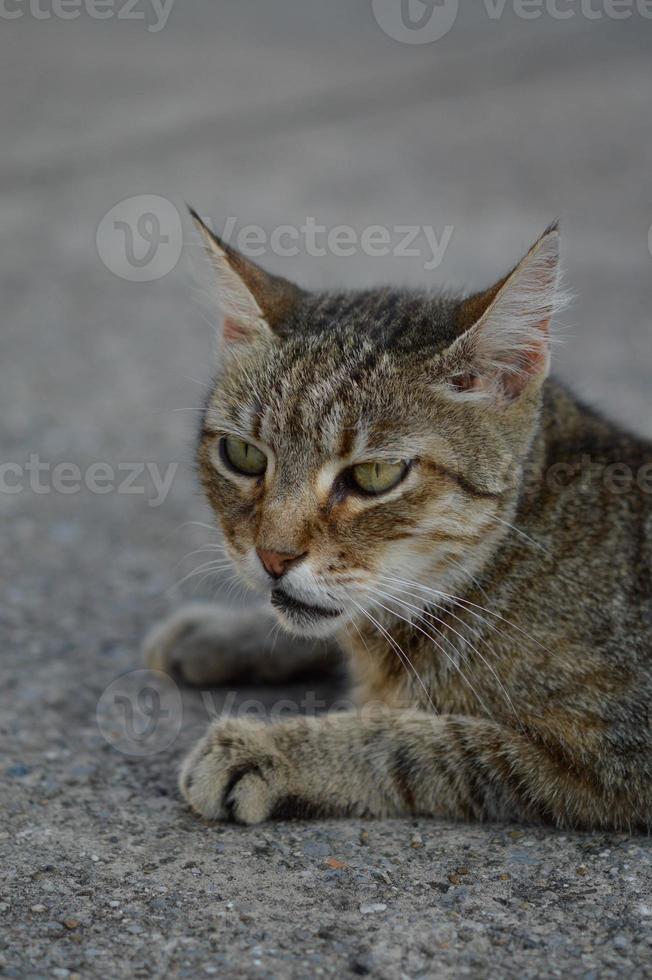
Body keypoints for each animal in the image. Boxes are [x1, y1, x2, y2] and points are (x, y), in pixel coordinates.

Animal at [145, 211, 648, 832]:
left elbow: (415, 743)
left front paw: (274, 750)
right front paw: (224, 633)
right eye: (243, 456)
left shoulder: (604, 757)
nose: (272, 557)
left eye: (375, 475)